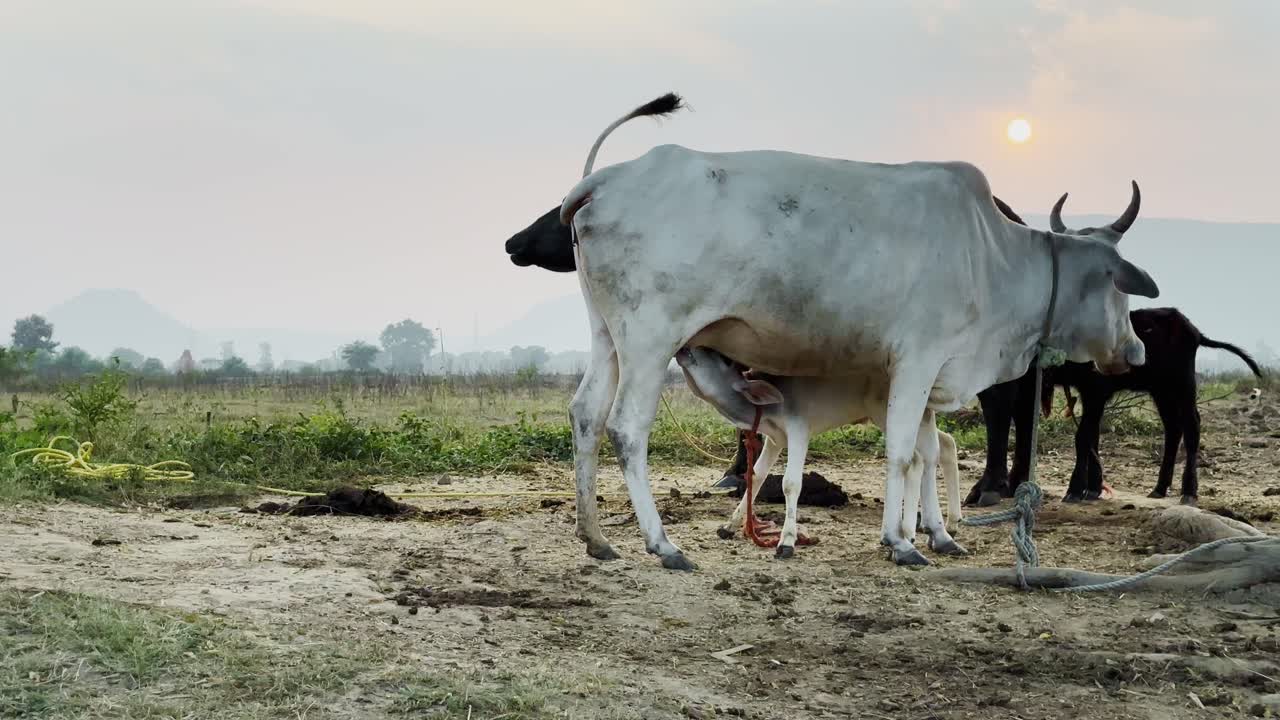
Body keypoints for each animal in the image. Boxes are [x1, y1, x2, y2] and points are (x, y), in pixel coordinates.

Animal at [675, 346, 965, 559]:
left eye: (723, 359)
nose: (686, 348)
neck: (767, 406)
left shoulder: (799, 430)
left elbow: (791, 483)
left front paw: (786, 541)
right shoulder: (775, 440)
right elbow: (755, 476)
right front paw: (730, 525)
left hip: (889, 414)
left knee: (917, 457)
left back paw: (915, 530)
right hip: (917, 417)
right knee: (939, 448)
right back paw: (940, 523)